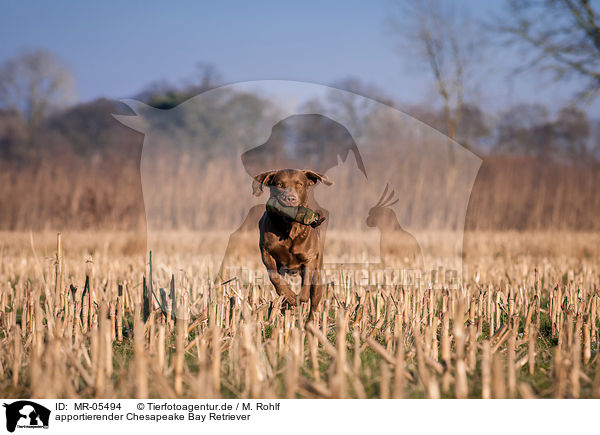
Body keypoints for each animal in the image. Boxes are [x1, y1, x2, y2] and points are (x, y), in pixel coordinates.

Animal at [250, 169, 330, 324]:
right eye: (280, 184)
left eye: (299, 185)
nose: (290, 199)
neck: (289, 227)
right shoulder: (267, 254)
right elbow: (275, 278)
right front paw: (289, 298)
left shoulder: (309, 259)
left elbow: (305, 290)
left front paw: (297, 299)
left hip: (318, 274)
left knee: (314, 302)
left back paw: (309, 324)